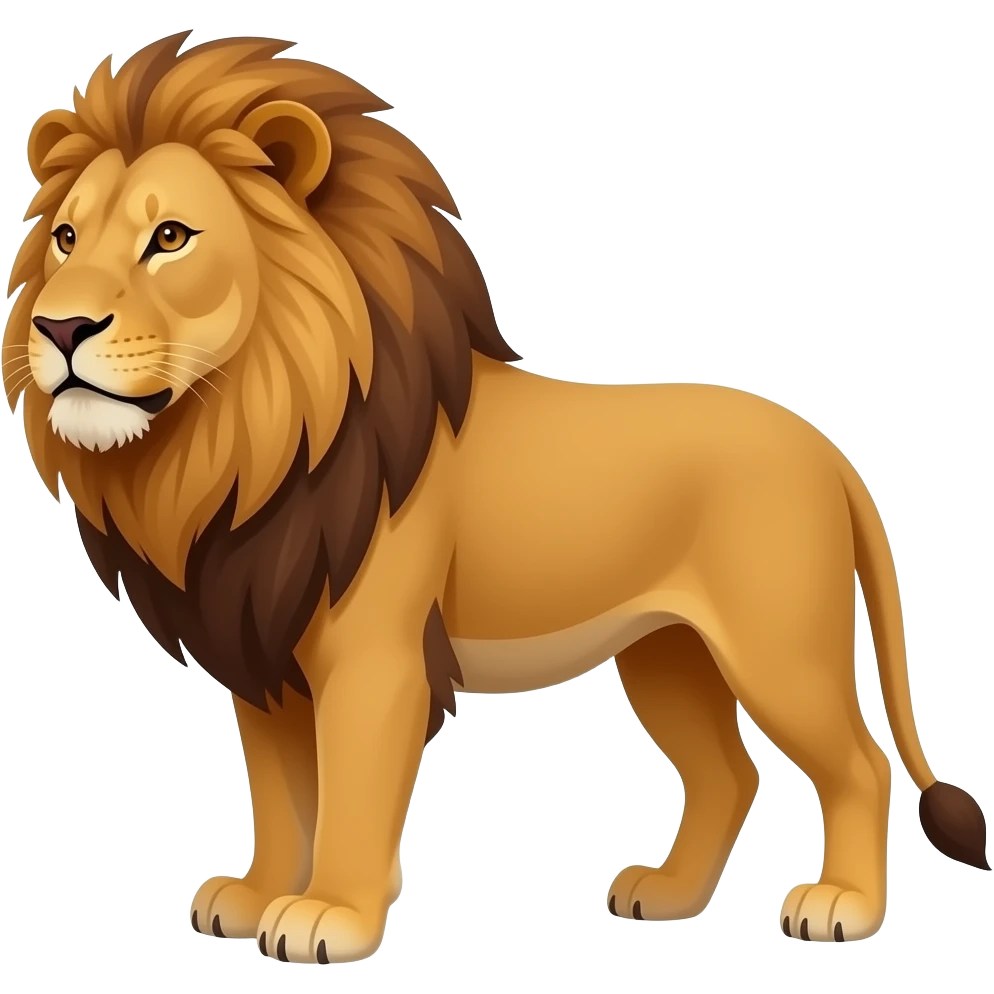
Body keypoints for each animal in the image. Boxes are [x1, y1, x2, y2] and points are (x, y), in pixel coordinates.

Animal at [3, 31, 988, 963]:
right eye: (65, 239)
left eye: (170, 237)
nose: (59, 325)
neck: (243, 434)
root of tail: (828, 452)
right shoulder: (264, 652)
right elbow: (283, 795)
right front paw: (254, 895)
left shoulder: (374, 659)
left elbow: (352, 793)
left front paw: (328, 916)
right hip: (667, 652)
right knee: (728, 774)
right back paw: (667, 895)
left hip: (778, 647)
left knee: (860, 763)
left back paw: (843, 908)